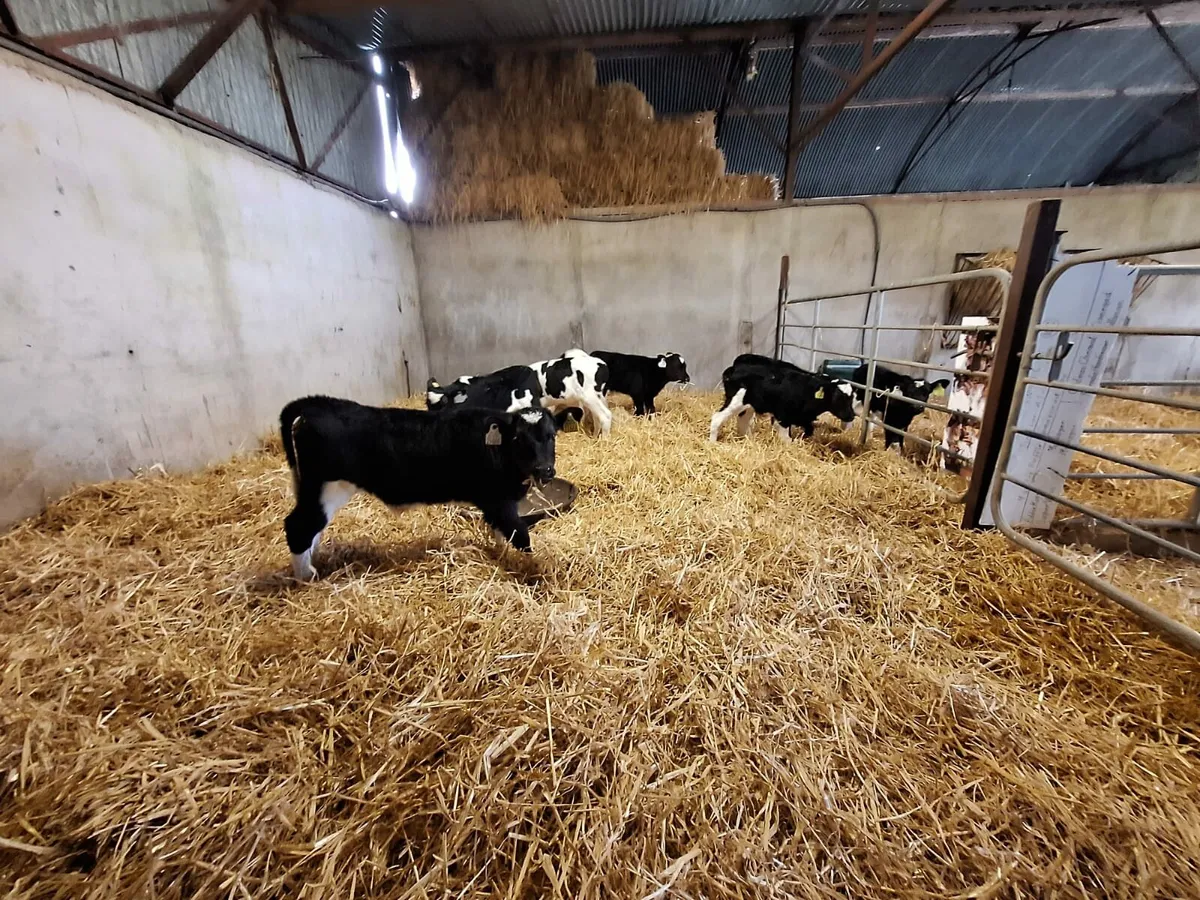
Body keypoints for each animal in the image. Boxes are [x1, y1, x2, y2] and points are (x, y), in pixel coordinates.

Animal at [280, 396, 557, 581]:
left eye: (551, 435)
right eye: (518, 438)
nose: (545, 470)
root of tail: (317, 404)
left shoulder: (498, 503)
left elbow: (501, 534)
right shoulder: (497, 500)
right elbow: (520, 534)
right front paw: (533, 568)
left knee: (311, 530)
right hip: (327, 488)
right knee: (299, 527)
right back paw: (308, 577)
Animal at [710, 359, 856, 442]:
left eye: (851, 398)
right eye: (839, 397)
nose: (851, 416)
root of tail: (734, 368)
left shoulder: (802, 418)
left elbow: (809, 431)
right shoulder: (783, 416)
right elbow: (786, 438)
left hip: (749, 405)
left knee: (743, 420)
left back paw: (748, 440)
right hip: (735, 401)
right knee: (717, 418)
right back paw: (712, 443)